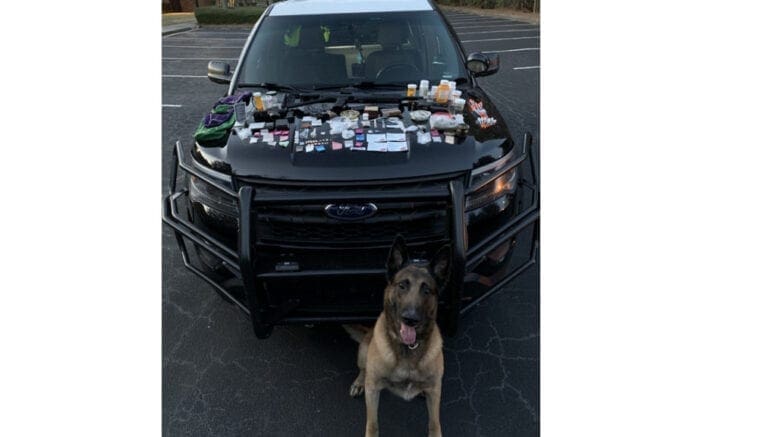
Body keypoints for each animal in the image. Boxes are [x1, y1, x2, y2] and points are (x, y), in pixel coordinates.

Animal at [344, 235, 452, 436]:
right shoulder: (373, 390)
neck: (408, 348)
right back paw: (359, 382)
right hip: (363, 351)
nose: (410, 319)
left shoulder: (435, 391)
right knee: (363, 369)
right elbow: (372, 423)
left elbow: (434, 423)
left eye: (427, 290)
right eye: (402, 285)